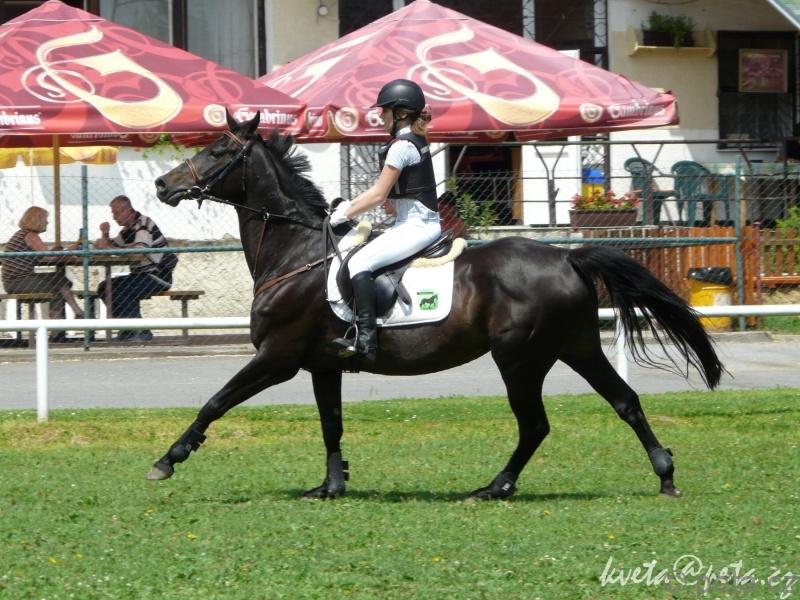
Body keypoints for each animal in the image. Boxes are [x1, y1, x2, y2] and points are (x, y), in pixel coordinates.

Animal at [150, 111, 723, 500]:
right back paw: (664, 473)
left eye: (218, 151)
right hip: (575, 346)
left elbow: (214, 402)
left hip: (520, 358)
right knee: (623, 400)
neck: (298, 253)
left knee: (535, 424)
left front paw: (167, 460)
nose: (161, 184)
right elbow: (331, 424)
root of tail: (567, 257)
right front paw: (331, 486)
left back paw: (495, 487)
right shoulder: (321, 365)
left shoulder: (277, 357)